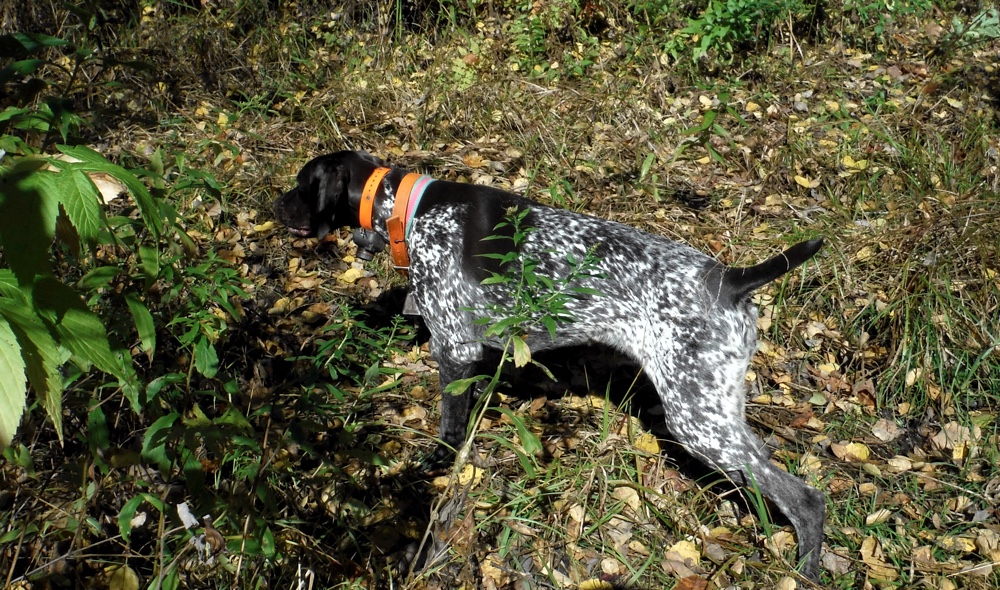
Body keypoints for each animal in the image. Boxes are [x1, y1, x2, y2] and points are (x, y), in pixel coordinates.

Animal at [276, 150, 828, 580]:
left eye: (303, 184)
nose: (275, 204)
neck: (409, 210)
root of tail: (730, 280)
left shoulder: (452, 347)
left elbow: (451, 427)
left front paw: (437, 466)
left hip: (697, 418)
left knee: (806, 499)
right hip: (712, 407)